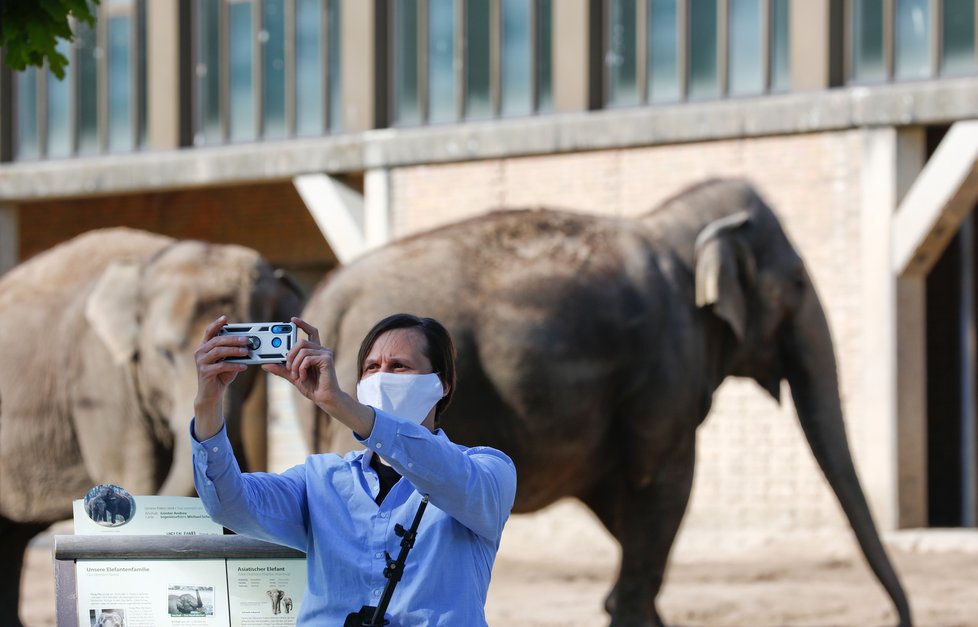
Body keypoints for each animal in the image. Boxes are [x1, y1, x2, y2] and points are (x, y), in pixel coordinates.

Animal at [302, 179, 912, 624]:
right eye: (800, 282)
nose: (900, 617)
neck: (678, 225)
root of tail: (331, 296)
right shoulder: (667, 369)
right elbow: (660, 485)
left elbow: (627, 511)